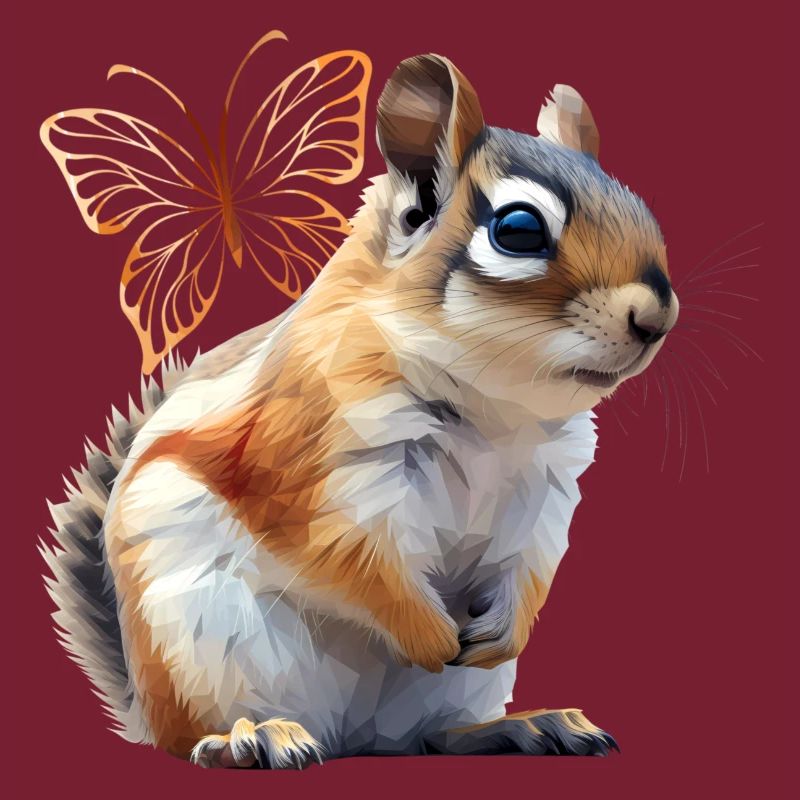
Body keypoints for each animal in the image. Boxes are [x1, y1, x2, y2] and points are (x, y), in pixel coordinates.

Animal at [41, 54, 679, 767]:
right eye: (518, 229)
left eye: (641, 208)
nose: (657, 318)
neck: (495, 410)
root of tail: (351, 738)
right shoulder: (316, 459)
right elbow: (355, 559)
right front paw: (430, 634)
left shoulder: (545, 486)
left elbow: (533, 561)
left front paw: (505, 631)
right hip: (205, 647)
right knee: (201, 736)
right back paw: (252, 737)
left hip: (446, 698)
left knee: (430, 738)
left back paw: (522, 726)